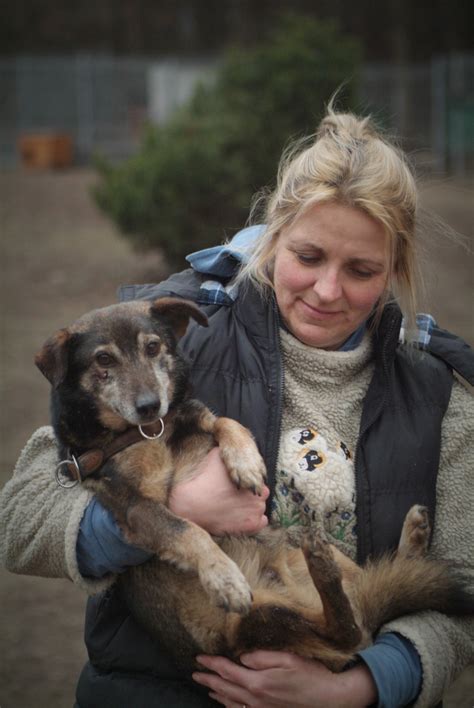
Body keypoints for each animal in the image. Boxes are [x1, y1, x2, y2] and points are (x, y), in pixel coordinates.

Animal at [36, 296, 474, 672]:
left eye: (153, 347)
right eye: (103, 359)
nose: (149, 405)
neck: (149, 433)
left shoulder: (196, 416)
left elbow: (226, 422)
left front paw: (246, 462)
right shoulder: (133, 506)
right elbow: (188, 529)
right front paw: (224, 576)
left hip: (303, 574)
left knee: (371, 604)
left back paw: (406, 538)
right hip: (251, 625)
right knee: (349, 630)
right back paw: (327, 570)